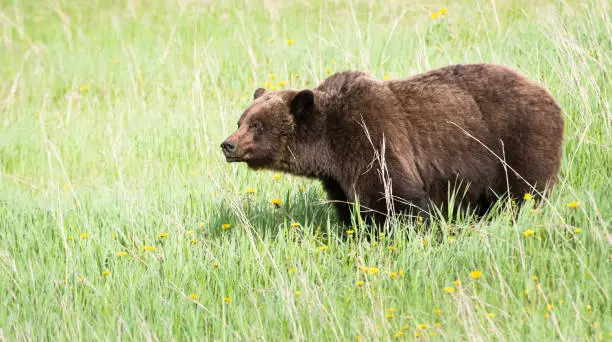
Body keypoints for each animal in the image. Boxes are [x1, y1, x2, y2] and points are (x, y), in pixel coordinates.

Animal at [220, 63, 564, 227]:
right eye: (241, 121)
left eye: (256, 125)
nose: (227, 145)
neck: (329, 146)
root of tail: (547, 94)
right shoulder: (337, 177)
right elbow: (348, 208)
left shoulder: (374, 140)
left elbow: (399, 199)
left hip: (518, 142)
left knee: (522, 194)